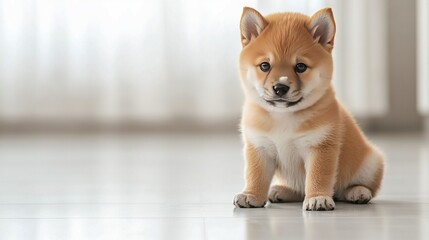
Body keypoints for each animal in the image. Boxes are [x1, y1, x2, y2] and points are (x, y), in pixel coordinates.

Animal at [234, 7, 384, 210]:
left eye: (300, 67)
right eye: (265, 66)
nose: (280, 88)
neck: (284, 116)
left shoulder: (320, 146)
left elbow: (317, 176)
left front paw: (318, 198)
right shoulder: (260, 147)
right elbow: (256, 175)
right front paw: (252, 195)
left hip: (371, 163)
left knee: (356, 187)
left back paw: (357, 191)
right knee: (300, 190)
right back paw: (281, 191)